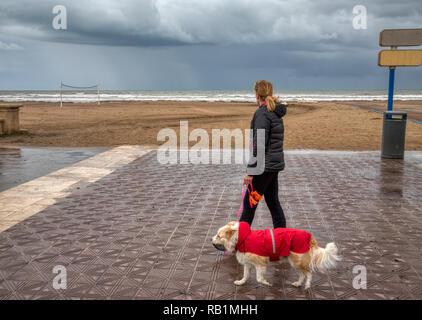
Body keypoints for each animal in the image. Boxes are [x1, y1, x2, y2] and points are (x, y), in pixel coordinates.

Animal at [213, 221, 342, 288]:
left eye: (219, 236)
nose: (211, 240)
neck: (242, 238)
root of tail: (309, 237)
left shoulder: (261, 264)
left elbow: (259, 278)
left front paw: (267, 282)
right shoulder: (248, 264)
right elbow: (245, 275)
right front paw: (241, 282)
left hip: (297, 261)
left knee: (309, 273)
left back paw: (307, 285)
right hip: (295, 262)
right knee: (302, 274)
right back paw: (298, 283)